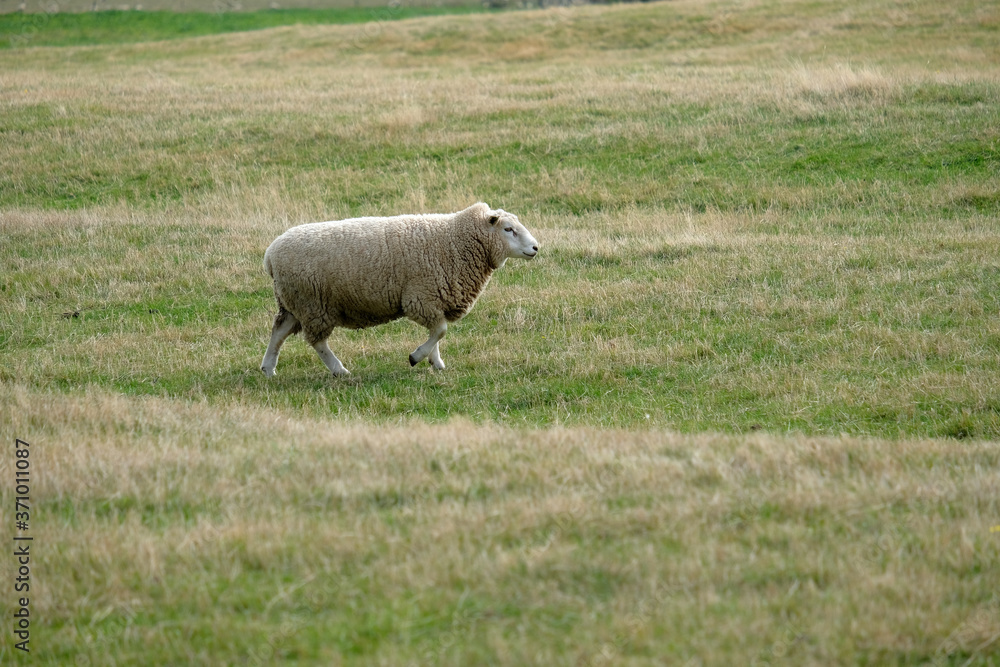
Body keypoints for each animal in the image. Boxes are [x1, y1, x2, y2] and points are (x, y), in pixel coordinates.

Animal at [260, 202, 539, 377]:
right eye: (508, 229)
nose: (536, 247)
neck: (454, 241)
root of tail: (270, 255)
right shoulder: (420, 297)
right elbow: (441, 330)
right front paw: (416, 357)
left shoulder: (434, 298)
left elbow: (437, 332)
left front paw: (436, 362)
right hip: (312, 303)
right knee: (317, 342)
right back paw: (339, 370)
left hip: (293, 302)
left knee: (279, 330)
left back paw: (268, 368)